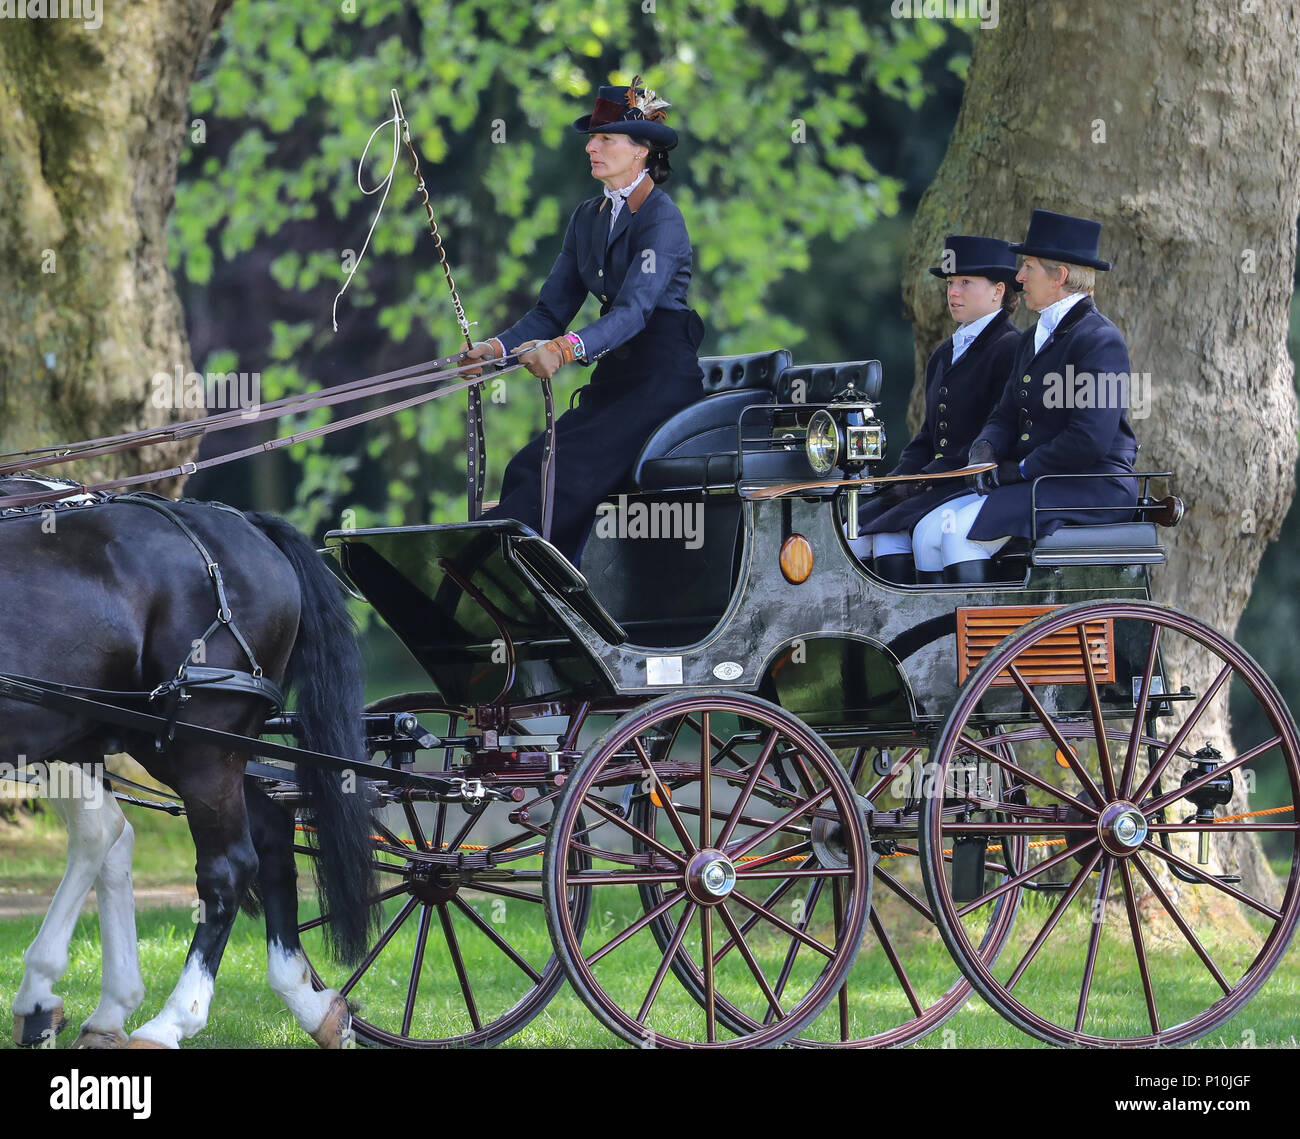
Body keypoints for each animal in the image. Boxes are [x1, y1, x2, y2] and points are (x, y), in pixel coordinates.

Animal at [5, 478, 379, 1050]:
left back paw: (170, 1019)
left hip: (198, 746)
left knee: (223, 865)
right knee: (263, 830)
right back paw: (310, 1002)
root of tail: (237, 522)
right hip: (150, 739)